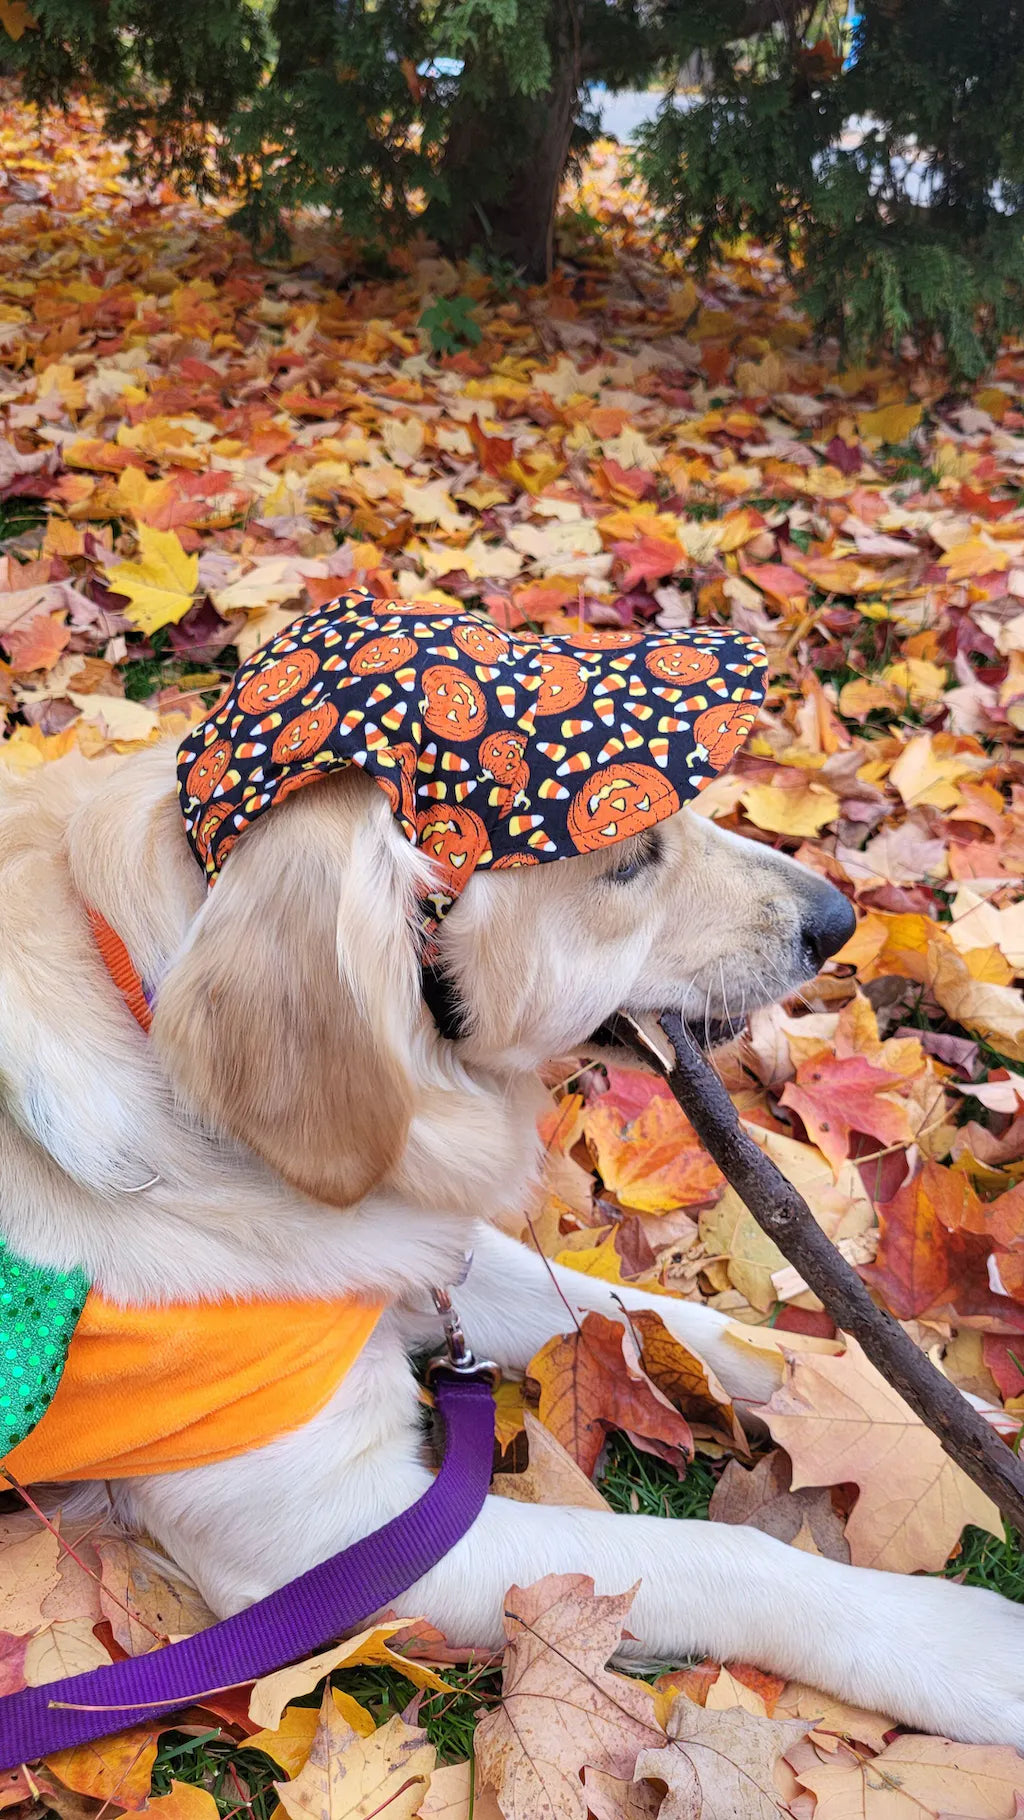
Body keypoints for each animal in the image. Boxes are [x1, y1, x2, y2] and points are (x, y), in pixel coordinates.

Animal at [0, 600, 1018, 1747]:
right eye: (630, 856)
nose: (839, 921)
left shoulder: (419, 1262)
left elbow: (666, 1316)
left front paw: (901, 1398)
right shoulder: (322, 1535)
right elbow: (723, 1552)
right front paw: (962, 1644)